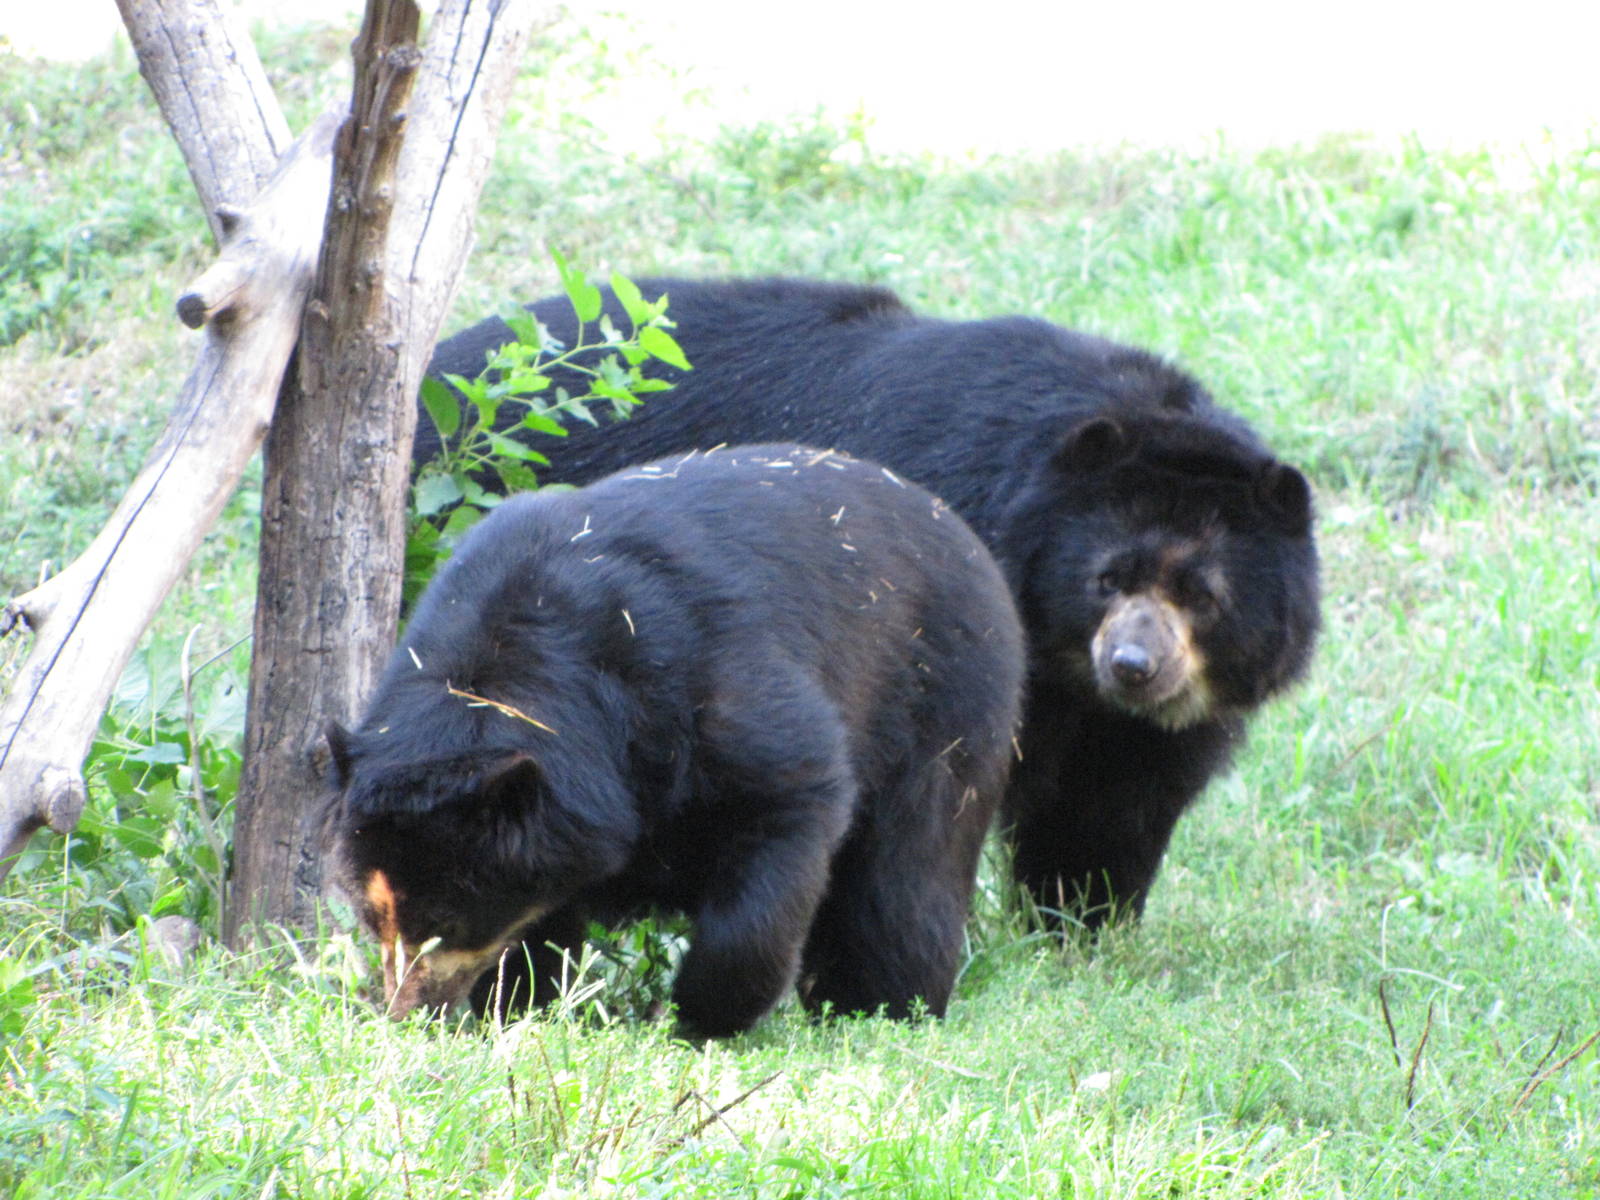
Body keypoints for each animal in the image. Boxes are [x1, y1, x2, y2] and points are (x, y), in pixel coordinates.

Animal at [321, 444, 1025, 1036]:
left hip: (944, 699)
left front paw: (701, 1014)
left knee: (908, 871)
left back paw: (881, 1004)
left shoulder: (710, 689)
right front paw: (528, 1002)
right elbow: (544, 903)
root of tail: (958, 529)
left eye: (446, 921)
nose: (410, 1011)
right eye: (372, 917)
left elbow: (787, 806)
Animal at [420, 277, 1321, 929]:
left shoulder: (1155, 722)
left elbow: (1112, 810)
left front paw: (1081, 930)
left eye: (1201, 594)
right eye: (1105, 577)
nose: (1135, 665)